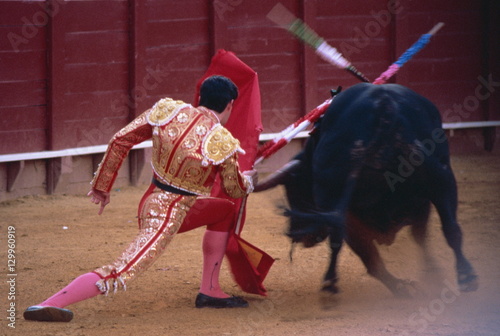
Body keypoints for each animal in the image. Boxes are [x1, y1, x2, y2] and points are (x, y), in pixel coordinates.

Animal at [256, 83, 478, 296]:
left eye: (294, 191)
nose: (294, 234)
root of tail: (383, 105)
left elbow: (381, 253)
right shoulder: (420, 202)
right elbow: (414, 241)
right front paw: (427, 279)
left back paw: (330, 284)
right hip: (441, 177)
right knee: (451, 228)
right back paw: (465, 277)